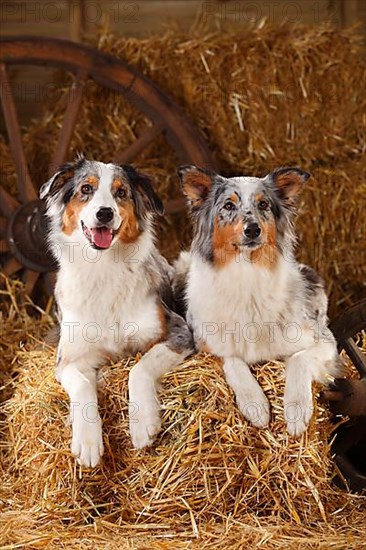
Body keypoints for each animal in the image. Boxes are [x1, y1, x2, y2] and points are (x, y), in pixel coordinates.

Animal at [41, 157, 193, 468]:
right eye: (86, 189)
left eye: (121, 192)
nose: (104, 213)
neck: (103, 267)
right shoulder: (68, 361)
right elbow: (82, 387)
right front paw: (87, 440)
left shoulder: (179, 330)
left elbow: (139, 367)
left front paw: (142, 421)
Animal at [175, 166, 340, 438]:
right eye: (228, 205)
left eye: (263, 204)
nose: (252, 229)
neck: (247, 273)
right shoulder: (207, 344)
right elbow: (233, 361)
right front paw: (255, 404)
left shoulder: (324, 341)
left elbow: (299, 358)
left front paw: (296, 410)